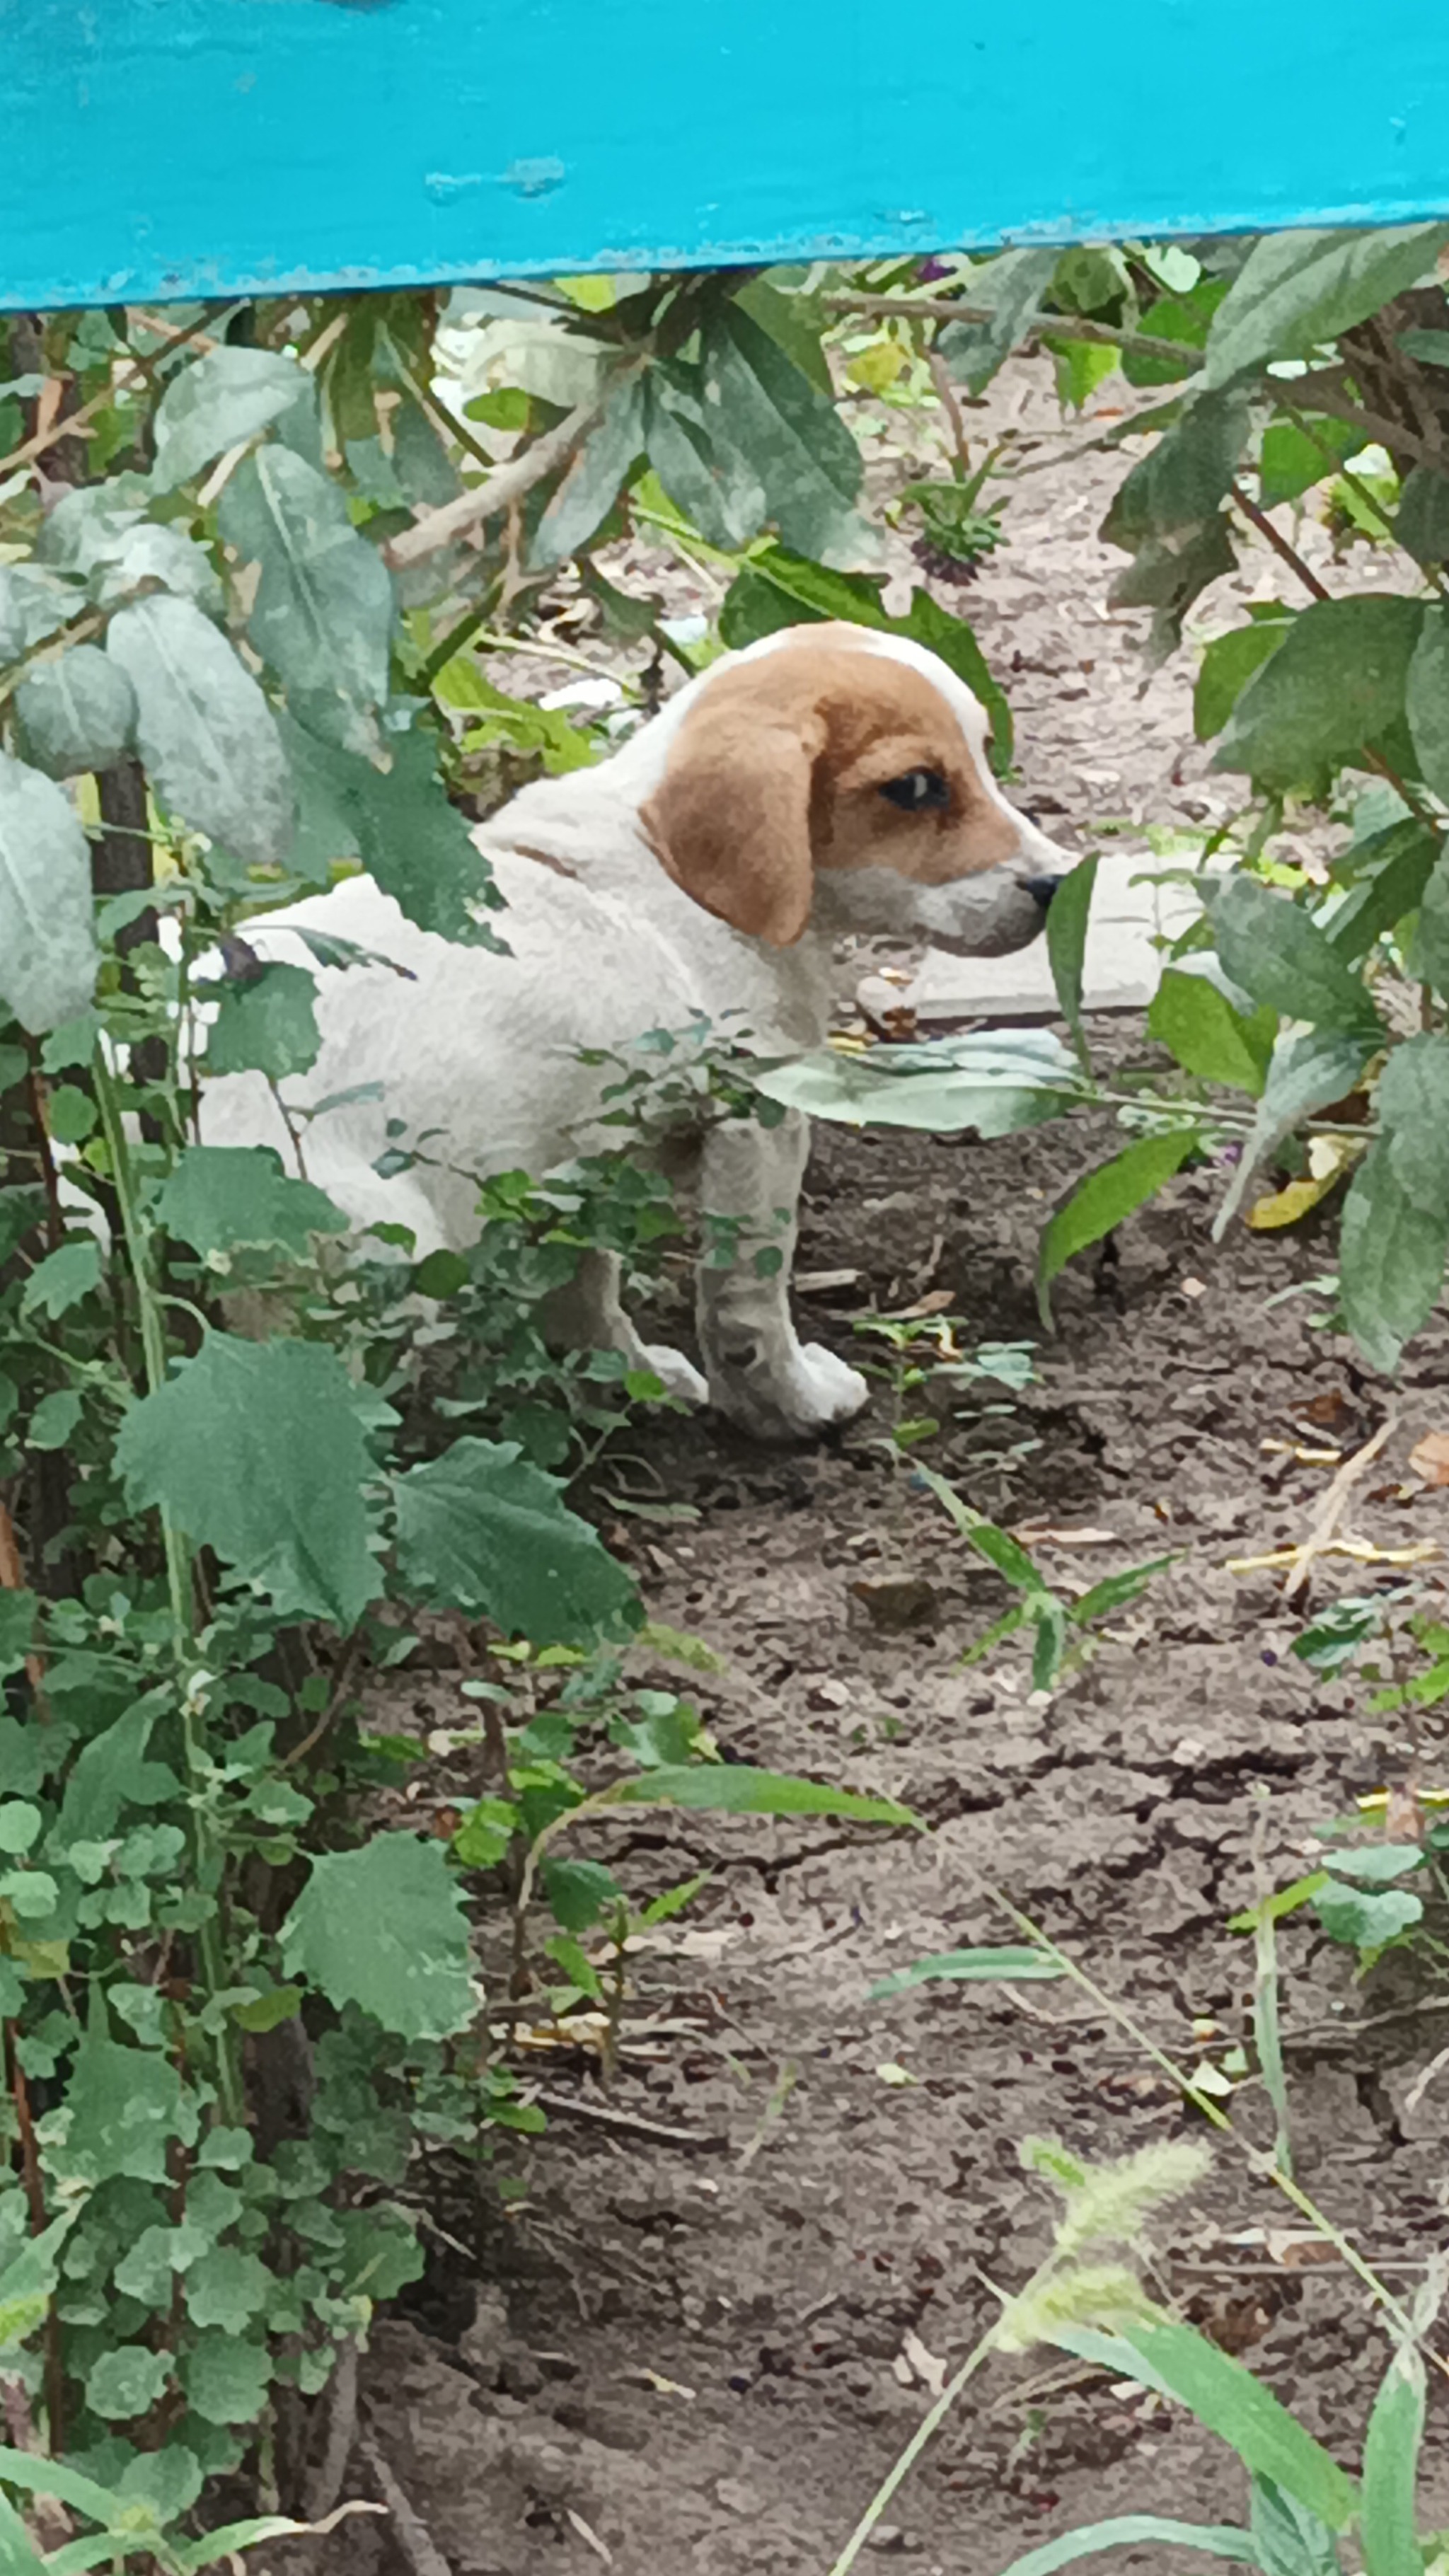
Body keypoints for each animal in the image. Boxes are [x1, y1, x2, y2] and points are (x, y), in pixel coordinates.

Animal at [197, 616, 1062, 1442]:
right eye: (913, 786)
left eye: (985, 758)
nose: (1058, 883)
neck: (668, 867)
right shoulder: (759, 1125)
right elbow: (747, 1297)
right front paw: (792, 1406)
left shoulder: (571, 1174)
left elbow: (584, 1295)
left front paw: (627, 1380)